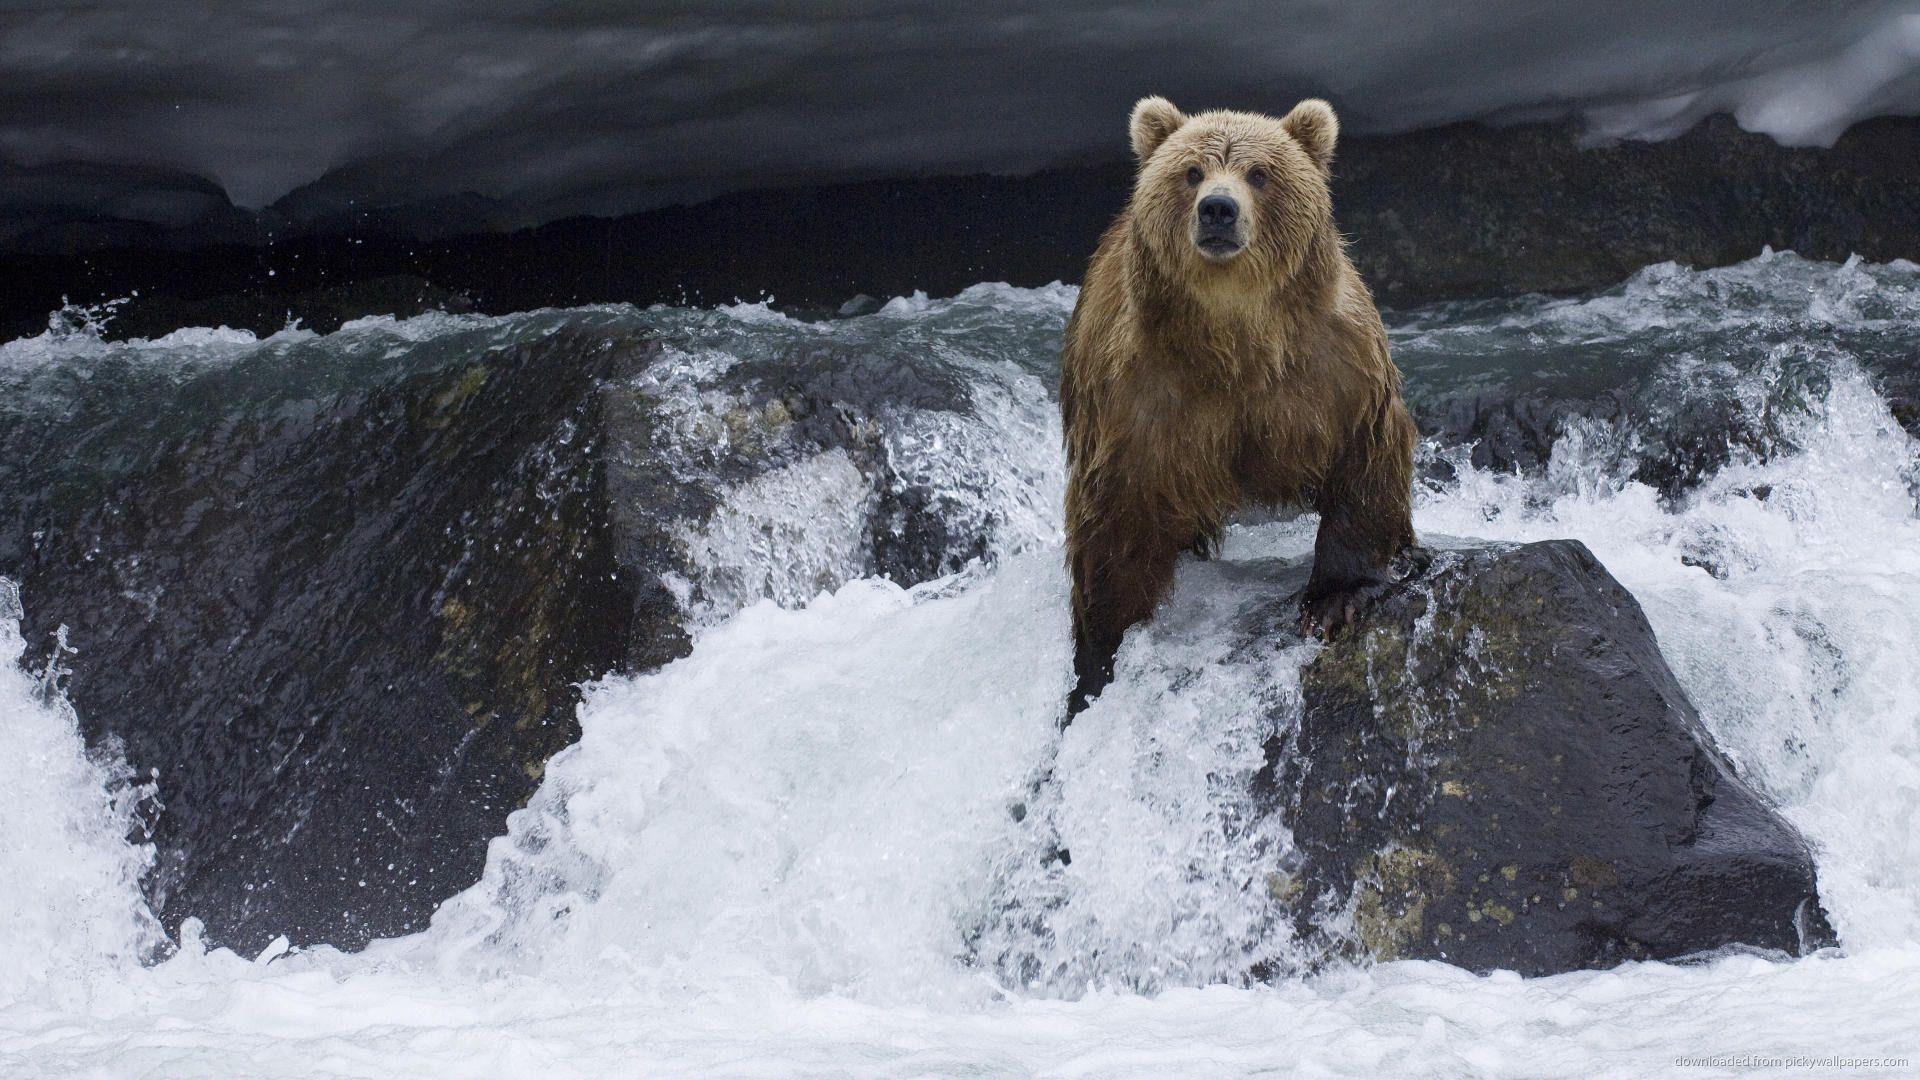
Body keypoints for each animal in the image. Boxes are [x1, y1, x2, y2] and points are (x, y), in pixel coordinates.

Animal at [1061, 96, 1417, 714]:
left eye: (1259, 173)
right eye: (1192, 171)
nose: (1218, 210)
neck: (1235, 338)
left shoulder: (1333, 367)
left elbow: (1364, 460)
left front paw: (1334, 600)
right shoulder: (1137, 395)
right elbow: (1114, 520)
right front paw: (1098, 657)